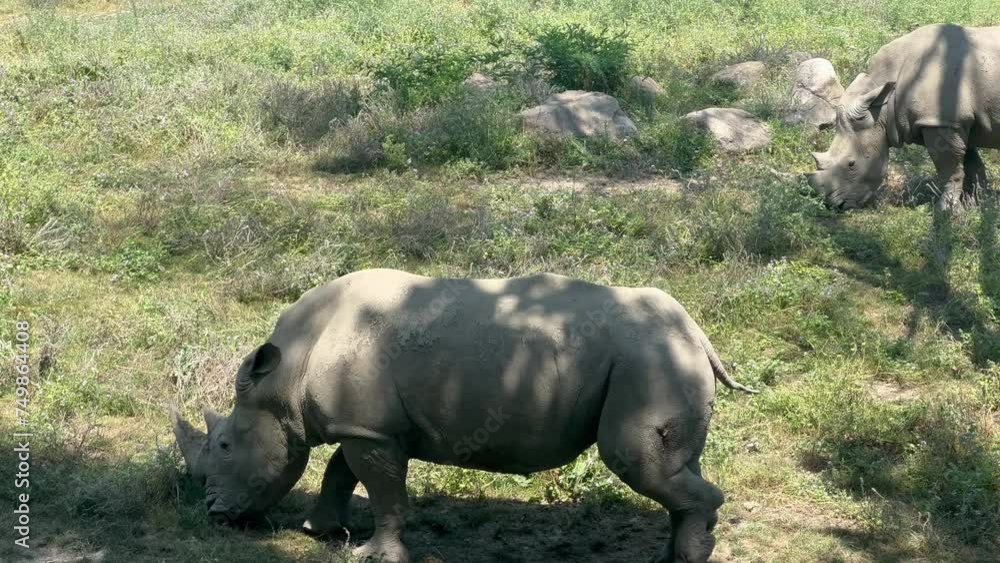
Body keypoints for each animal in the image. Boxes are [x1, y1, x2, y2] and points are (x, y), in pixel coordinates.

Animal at [171, 269, 756, 563]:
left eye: (224, 446)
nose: (214, 513)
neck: (286, 375)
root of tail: (697, 332)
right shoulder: (366, 425)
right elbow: (341, 470)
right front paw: (320, 530)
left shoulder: (370, 431)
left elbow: (382, 490)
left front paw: (375, 555)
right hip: (657, 356)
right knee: (672, 466)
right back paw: (670, 558)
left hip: (646, 358)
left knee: (634, 458)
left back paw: (690, 558)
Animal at [807, 24, 999, 211]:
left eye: (851, 164)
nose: (834, 206)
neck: (882, 106)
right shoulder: (956, 121)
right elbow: (970, 162)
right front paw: (976, 203)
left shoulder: (938, 122)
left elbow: (949, 169)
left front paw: (947, 211)